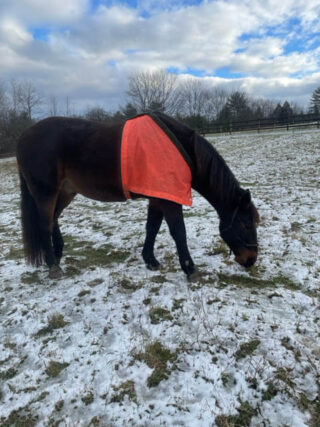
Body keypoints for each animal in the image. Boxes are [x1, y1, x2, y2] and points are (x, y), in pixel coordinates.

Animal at [16, 112, 258, 280]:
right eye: (245, 224)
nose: (251, 259)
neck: (180, 148)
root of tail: (23, 136)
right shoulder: (170, 200)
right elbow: (179, 233)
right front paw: (190, 270)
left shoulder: (158, 196)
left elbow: (152, 228)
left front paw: (150, 260)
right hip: (45, 193)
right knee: (44, 224)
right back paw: (53, 266)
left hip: (65, 191)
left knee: (53, 220)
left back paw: (57, 255)